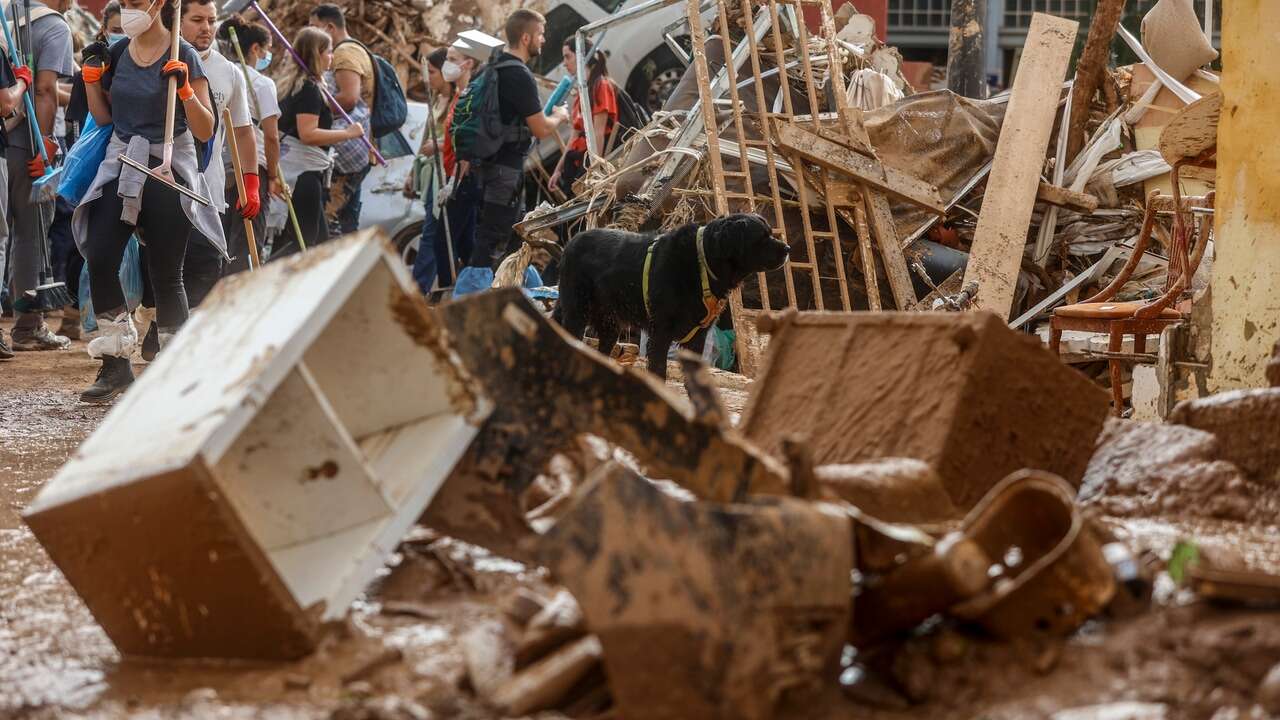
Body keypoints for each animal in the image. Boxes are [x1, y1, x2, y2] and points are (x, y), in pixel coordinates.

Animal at [552, 211, 783, 379]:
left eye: (770, 232)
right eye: (762, 237)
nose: (787, 248)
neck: (703, 263)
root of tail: (570, 243)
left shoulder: (697, 339)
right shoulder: (660, 334)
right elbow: (658, 373)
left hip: (610, 325)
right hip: (577, 314)